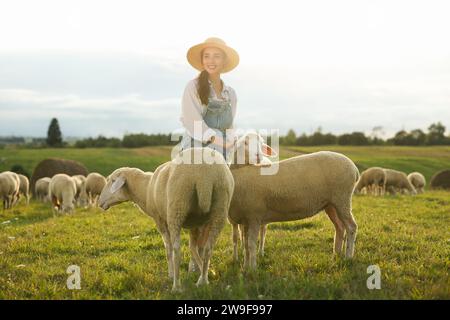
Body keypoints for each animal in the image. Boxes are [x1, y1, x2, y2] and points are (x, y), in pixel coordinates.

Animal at [99, 148, 236, 292]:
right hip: (220, 208)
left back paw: (176, 286)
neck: (146, 189)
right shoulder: (196, 224)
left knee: (177, 250)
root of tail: (204, 176)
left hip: (176, 208)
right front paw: (202, 272)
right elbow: (196, 248)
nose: (100, 202)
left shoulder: (160, 220)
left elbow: (168, 247)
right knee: (209, 248)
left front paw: (171, 274)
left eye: (112, 180)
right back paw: (202, 282)